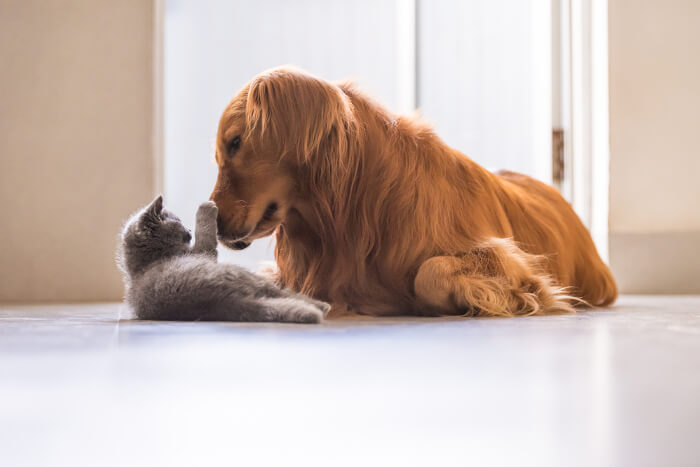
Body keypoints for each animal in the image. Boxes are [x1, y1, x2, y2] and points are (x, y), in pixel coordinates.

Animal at [117, 196, 330, 324]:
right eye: (178, 221)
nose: (189, 229)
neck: (149, 260)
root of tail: (220, 302)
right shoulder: (203, 252)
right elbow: (206, 237)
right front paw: (206, 207)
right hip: (244, 274)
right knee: (281, 292)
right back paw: (321, 306)